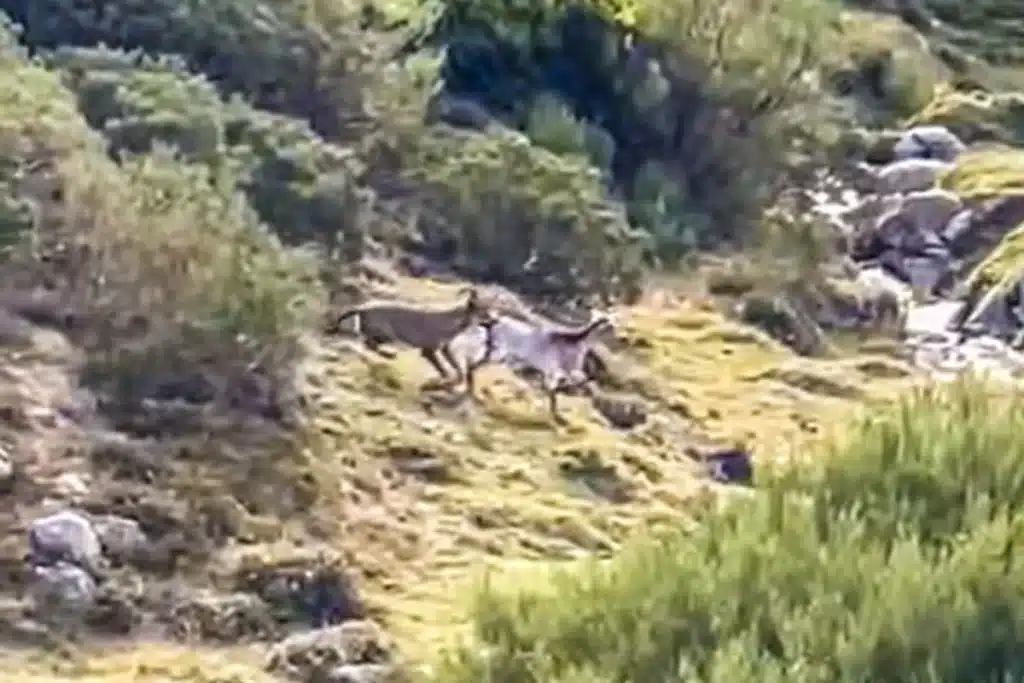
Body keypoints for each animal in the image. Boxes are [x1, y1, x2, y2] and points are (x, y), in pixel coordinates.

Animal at [325, 287, 496, 387]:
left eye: (490, 308)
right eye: (483, 311)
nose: (495, 320)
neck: (451, 319)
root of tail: (363, 307)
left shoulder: (445, 349)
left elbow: (457, 368)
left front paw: (455, 380)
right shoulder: (428, 350)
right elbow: (444, 369)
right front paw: (443, 381)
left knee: (367, 341)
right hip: (387, 333)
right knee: (368, 342)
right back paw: (389, 354)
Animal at [450, 312, 614, 423]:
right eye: (609, 325)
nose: (618, 337)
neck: (573, 341)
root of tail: (493, 323)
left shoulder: (560, 373)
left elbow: (560, 390)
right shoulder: (557, 372)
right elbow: (557, 391)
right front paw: (557, 417)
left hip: (499, 354)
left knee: (476, 366)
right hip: (498, 352)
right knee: (474, 366)